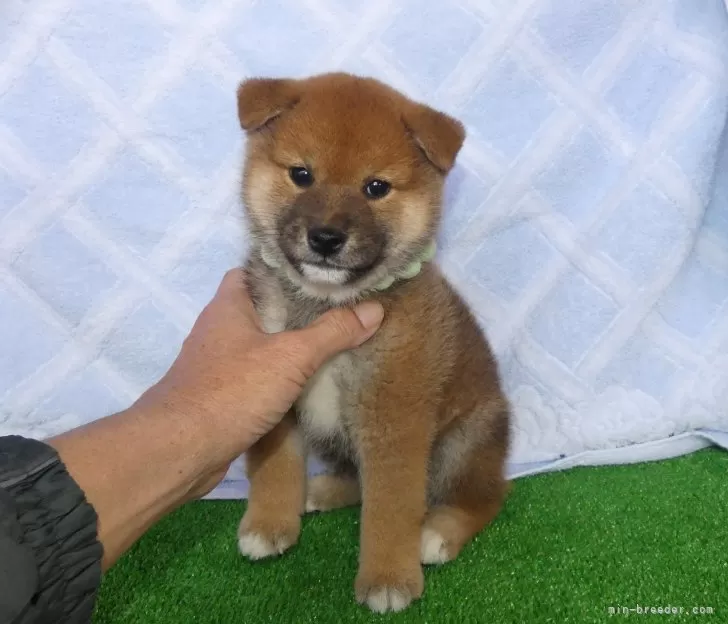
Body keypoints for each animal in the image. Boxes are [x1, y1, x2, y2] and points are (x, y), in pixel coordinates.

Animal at [236, 73, 510, 616]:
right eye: (301, 175)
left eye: (376, 188)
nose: (325, 237)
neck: (327, 306)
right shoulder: (275, 383)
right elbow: (277, 462)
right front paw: (269, 522)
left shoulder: (393, 416)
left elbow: (390, 506)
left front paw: (387, 577)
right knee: (358, 481)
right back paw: (320, 489)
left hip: (463, 442)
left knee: (484, 498)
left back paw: (438, 533)